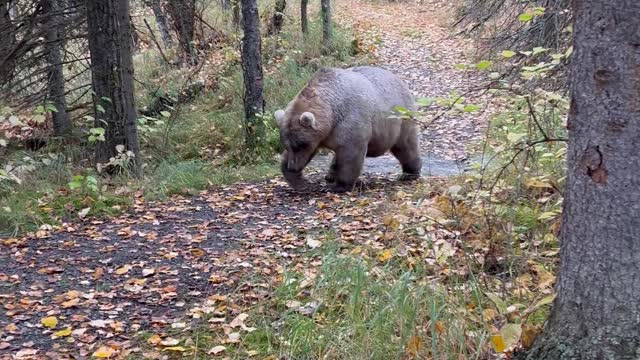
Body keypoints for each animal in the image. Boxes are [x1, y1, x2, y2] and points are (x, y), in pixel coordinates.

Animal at [274, 65, 420, 193]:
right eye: (287, 145)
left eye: (300, 145)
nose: (292, 168)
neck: (331, 115)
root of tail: (399, 80)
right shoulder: (321, 137)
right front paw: (299, 182)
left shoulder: (350, 123)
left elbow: (350, 155)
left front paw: (338, 187)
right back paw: (330, 175)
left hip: (400, 117)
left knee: (405, 146)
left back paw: (409, 173)